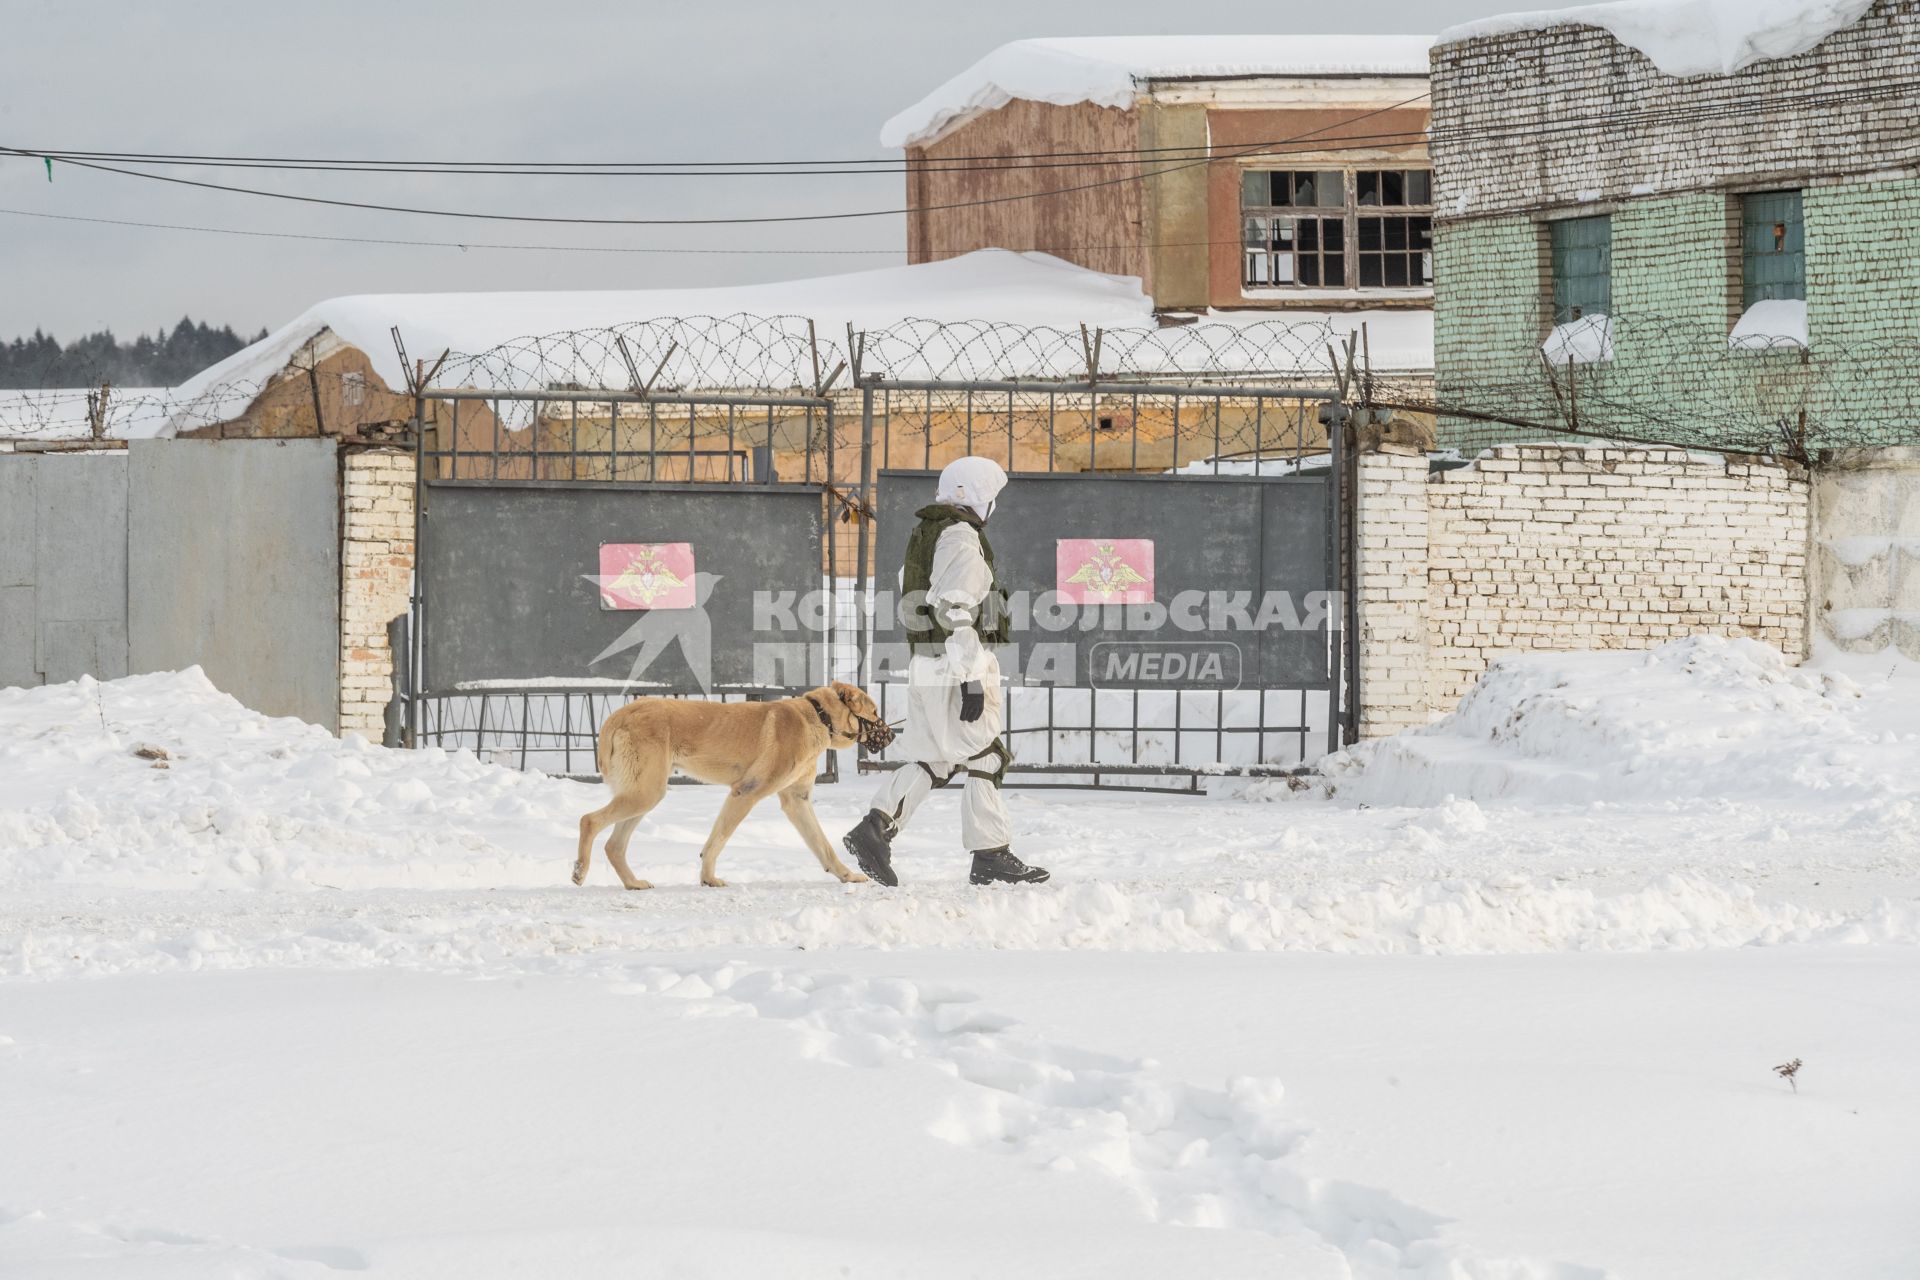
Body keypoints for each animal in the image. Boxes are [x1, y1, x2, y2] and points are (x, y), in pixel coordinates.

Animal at [572, 679, 894, 890]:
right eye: (875, 712)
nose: (891, 735)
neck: (818, 716)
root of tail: (620, 714)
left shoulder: (796, 800)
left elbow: (822, 845)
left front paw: (846, 875)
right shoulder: (745, 793)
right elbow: (717, 841)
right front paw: (709, 878)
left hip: (644, 793)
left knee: (614, 845)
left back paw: (632, 883)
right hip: (645, 792)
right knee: (589, 820)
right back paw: (580, 870)